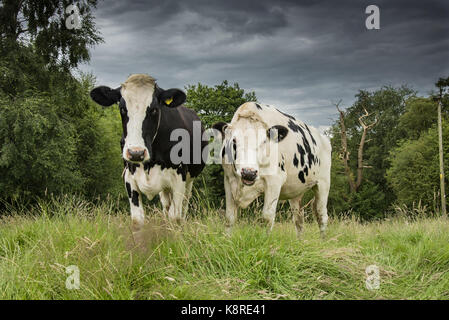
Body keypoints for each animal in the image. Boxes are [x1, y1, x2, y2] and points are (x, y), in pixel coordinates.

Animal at [89, 74, 208, 229]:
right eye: (122, 109)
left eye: (154, 110)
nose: (136, 153)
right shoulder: (129, 176)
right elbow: (137, 218)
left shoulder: (179, 176)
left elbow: (175, 217)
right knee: (166, 205)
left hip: (189, 180)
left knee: (183, 207)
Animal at [212, 102, 330, 238]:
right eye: (234, 141)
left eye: (264, 141)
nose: (248, 173)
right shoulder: (229, 179)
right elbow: (229, 217)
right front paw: (227, 239)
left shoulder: (274, 181)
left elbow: (267, 218)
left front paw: (265, 240)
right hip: (296, 191)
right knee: (298, 218)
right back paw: (300, 240)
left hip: (323, 183)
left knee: (321, 215)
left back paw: (324, 240)